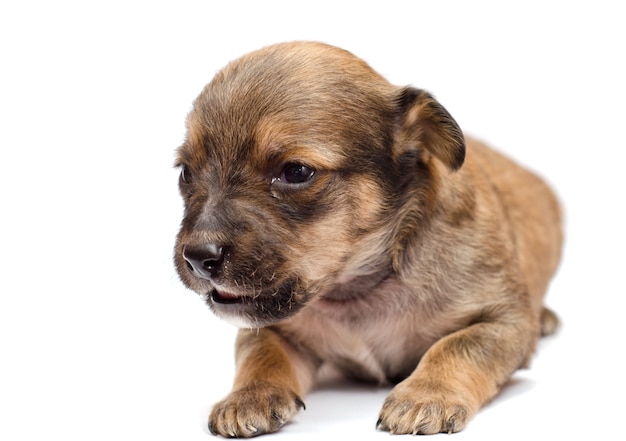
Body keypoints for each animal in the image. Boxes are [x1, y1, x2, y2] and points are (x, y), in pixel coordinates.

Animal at [174, 42, 560, 436]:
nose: (197, 257)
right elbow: (261, 354)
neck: (358, 291)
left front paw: (425, 395)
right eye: (186, 172)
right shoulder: (271, 328)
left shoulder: (504, 321)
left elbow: (456, 346)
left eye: (296, 171)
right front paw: (247, 397)